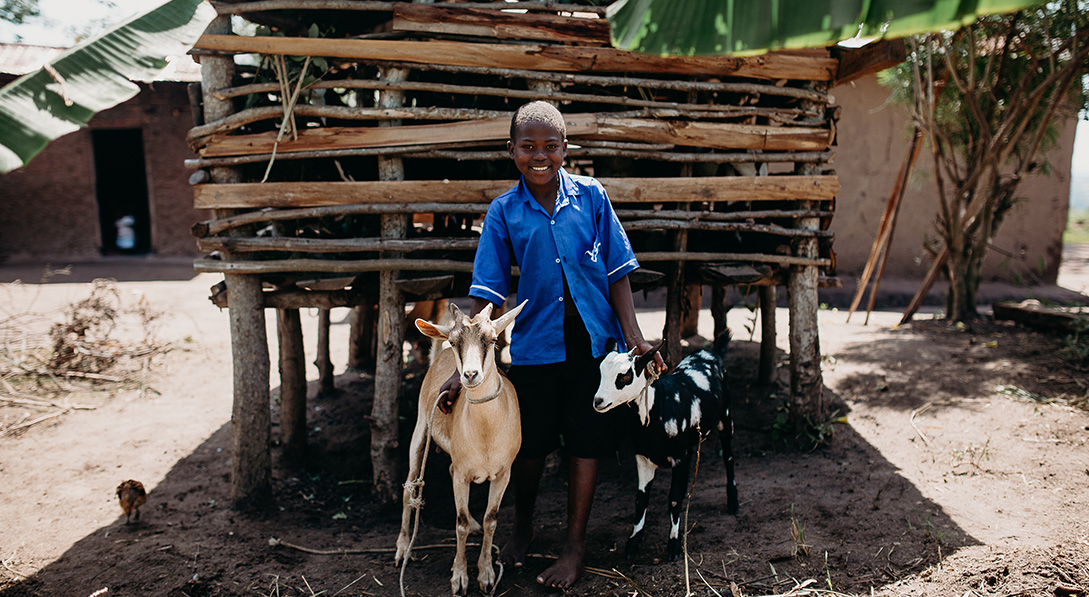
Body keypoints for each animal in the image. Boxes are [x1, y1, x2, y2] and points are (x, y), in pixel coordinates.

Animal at [396, 300, 527, 592]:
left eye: (493, 339)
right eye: (455, 341)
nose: (469, 374)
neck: (486, 436)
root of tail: (439, 354)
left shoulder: (503, 473)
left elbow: (492, 519)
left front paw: (487, 574)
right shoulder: (462, 473)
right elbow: (460, 523)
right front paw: (459, 577)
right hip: (420, 428)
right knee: (409, 486)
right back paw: (401, 549)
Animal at [596, 333, 740, 562]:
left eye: (625, 375)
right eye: (600, 371)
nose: (598, 401)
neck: (657, 408)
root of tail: (713, 351)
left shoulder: (680, 457)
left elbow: (674, 498)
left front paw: (674, 545)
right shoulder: (643, 457)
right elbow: (640, 500)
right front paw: (633, 543)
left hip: (726, 416)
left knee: (728, 456)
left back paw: (733, 501)